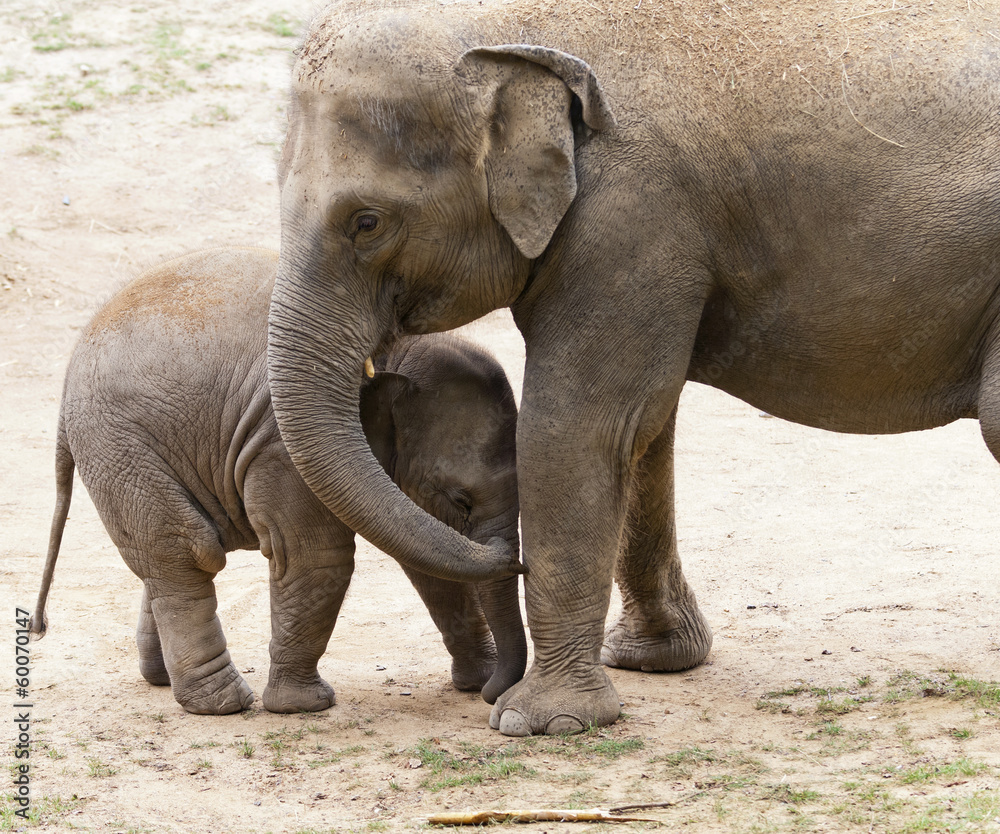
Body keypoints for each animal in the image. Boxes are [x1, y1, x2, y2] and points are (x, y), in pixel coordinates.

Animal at [30, 246, 526, 715]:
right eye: (460, 499)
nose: (514, 559)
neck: (395, 351)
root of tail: (67, 384)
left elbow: (428, 564)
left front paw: (477, 682)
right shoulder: (281, 441)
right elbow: (315, 553)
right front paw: (304, 706)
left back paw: (162, 680)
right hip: (118, 445)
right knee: (184, 554)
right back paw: (224, 704)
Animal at [266, 0, 1000, 736]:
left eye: (366, 222)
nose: (507, 553)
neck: (506, 28)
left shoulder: (630, 216)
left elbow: (577, 425)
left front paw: (541, 722)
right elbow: (644, 430)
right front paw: (651, 661)